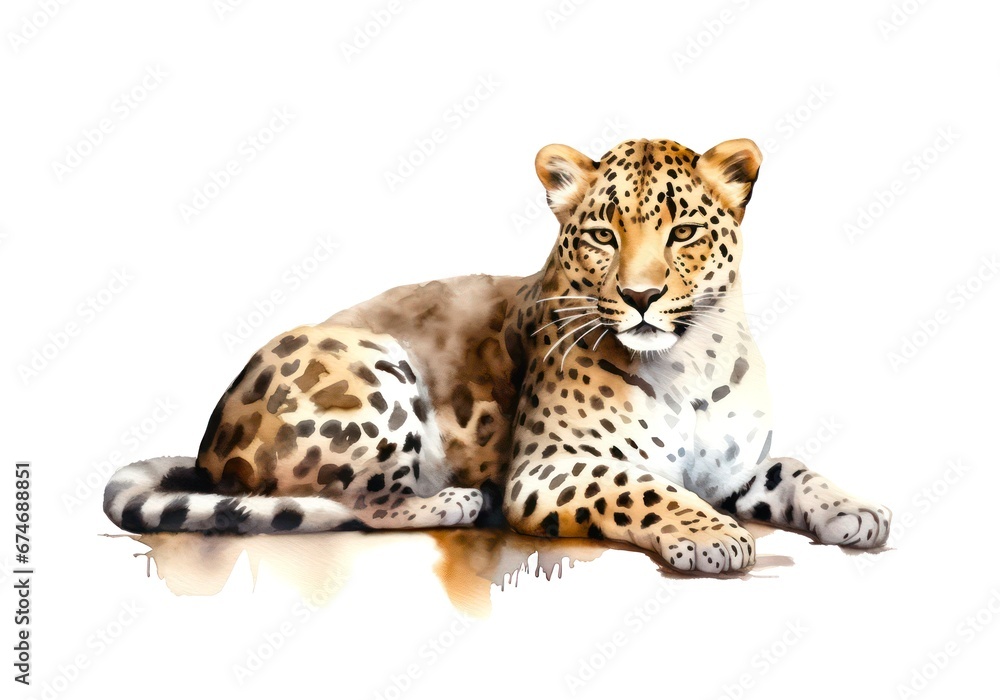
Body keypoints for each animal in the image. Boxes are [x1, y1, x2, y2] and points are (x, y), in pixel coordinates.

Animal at [104, 136, 891, 574]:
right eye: (603, 235)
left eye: (684, 232)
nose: (640, 296)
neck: (692, 359)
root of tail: (208, 443)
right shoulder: (548, 469)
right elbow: (648, 488)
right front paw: (713, 536)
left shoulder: (732, 467)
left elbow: (796, 470)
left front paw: (856, 511)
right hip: (376, 364)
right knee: (350, 503)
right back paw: (451, 500)